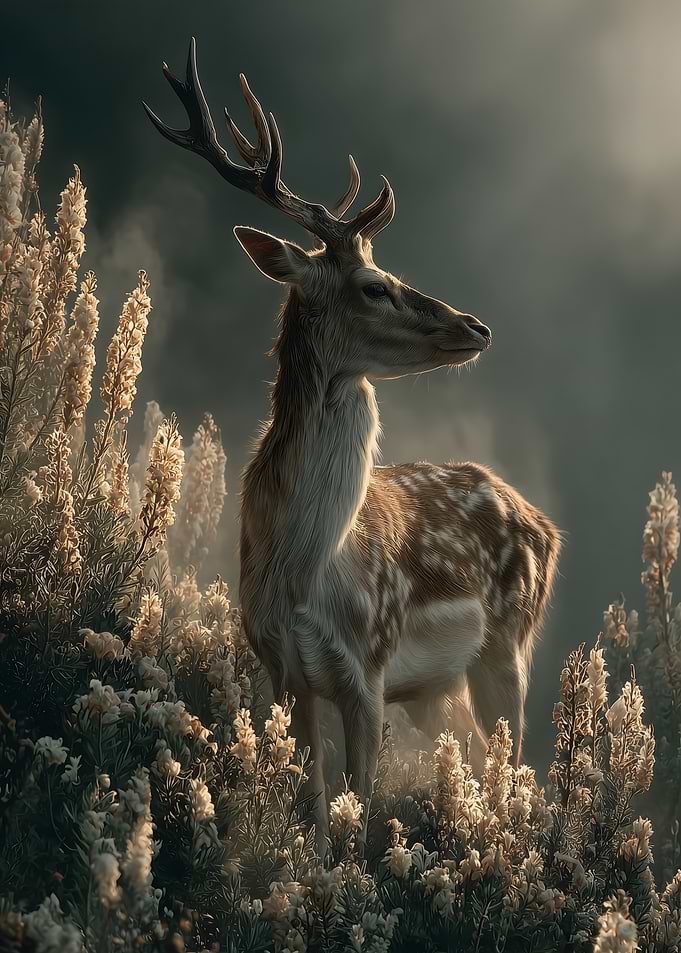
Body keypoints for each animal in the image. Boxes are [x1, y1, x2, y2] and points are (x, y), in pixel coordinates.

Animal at [144, 38, 561, 849]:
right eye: (374, 284)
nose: (476, 325)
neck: (307, 572)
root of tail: (543, 522)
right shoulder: (281, 669)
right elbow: (311, 808)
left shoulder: (368, 667)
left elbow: (358, 820)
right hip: (440, 689)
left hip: (507, 646)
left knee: (516, 772)